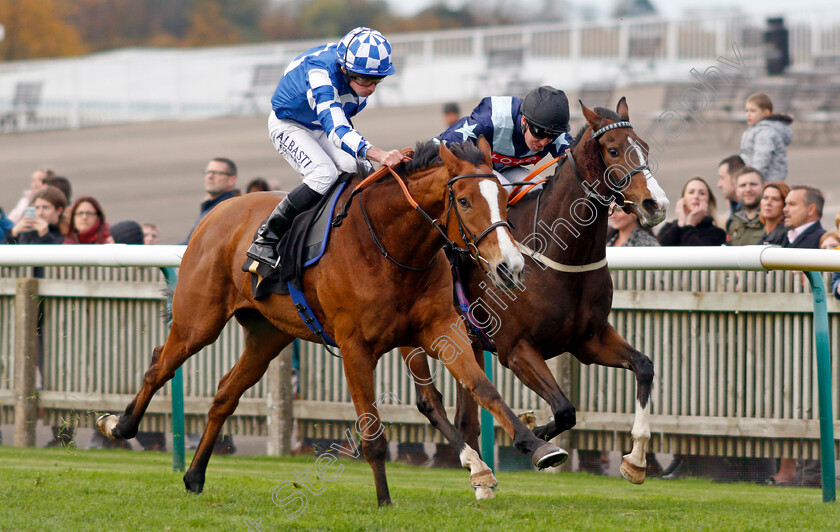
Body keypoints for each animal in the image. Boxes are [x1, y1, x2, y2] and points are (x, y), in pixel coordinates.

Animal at [97, 138, 572, 508]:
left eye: (505, 198)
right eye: (465, 200)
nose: (510, 266)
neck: (393, 247)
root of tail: (216, 212)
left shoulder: (442, 330)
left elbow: (485, 389)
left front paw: (538, 448)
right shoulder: (355, 347)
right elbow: (372, 431)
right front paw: (384, 501)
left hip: (267, 336)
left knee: (225, 393)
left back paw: (194, 476)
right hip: (199, 321)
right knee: (159, 365)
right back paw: (118, 426)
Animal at [400, 97, 668, 484]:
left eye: (644, 147)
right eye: (614, 150)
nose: (656, 204)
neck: (561, 253)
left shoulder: (589, 339)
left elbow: (644, 366)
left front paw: (635, 459)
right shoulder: (517, 349)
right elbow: (565, 409)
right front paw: (535, 438)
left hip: (467, 342)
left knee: (466, 414)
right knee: (429, 401)